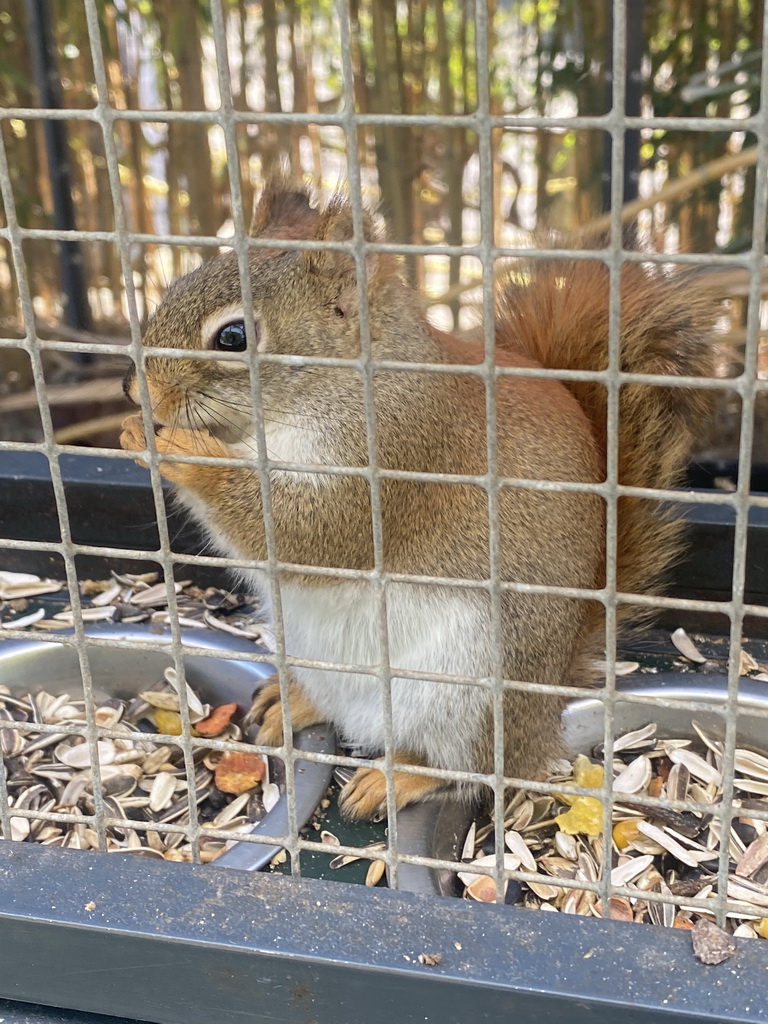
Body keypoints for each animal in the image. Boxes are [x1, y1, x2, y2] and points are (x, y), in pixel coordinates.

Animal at [118, 176, 716, 815]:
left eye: (234, 337)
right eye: (175, 288)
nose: (136, 389)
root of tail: (545, 702)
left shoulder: (401, 450)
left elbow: (307, 531)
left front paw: (185, 450)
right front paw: (133, 431)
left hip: (469, 695)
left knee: (473, 769)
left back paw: (396, 779)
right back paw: (294, 702)